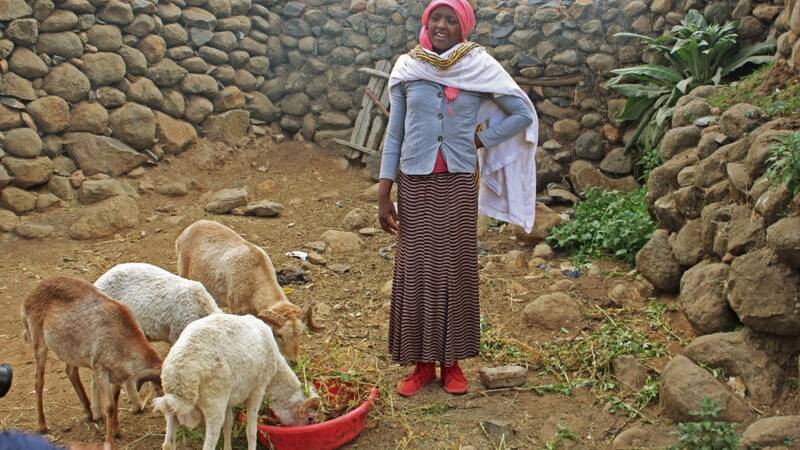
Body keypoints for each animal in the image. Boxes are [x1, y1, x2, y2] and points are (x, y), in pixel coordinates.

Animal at [20, 276, 162, 448]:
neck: (121, 337)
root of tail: (29, 297)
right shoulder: (101, 371)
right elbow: (109, 407)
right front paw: (109, 443)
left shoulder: (117, 375)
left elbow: (115, 400)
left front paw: (117, 431)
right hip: (39, 344)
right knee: (38, 382)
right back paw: (42, 425)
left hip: (70, 351)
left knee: (71, 372)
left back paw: (90, 413)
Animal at [153, 312, 322, 450]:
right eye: (310, 418)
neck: (276, 371)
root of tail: (180, 375)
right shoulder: (258, 390)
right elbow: (251, 431)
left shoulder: (229, 400)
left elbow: (229, 424)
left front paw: (228, 447)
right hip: (214, 405)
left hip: (172, 407)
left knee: (168, 444)